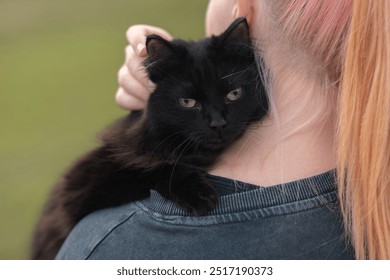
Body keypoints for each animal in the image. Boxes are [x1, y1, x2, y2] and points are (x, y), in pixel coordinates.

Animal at [30, 18, 268, 260]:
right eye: (188, 102)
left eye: (234, 94)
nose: (218, 123)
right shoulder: (83, 183)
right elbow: (149, 167)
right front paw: (199, 194)